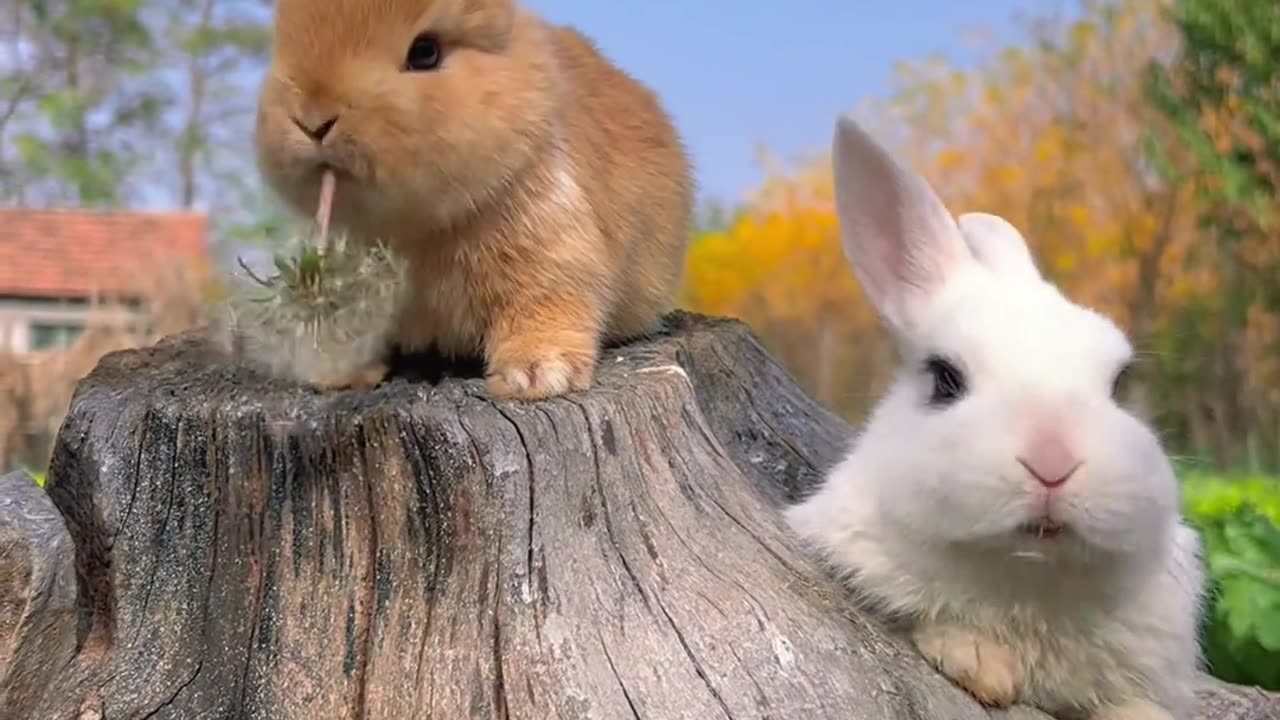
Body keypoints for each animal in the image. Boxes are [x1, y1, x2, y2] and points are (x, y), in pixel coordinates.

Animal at [256, 0, 696, 397]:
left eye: (425, 52)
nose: (313, 121)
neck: (416, 229)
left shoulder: (552, 264)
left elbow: (545, 312)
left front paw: (535, 377)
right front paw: (338, 375)